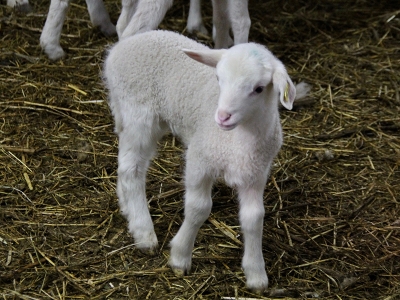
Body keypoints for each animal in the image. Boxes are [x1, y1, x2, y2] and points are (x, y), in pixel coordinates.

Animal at [103, 29, 310, 292]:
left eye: (259, 88)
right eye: (219, 79)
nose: (222, 117)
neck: (238, 141)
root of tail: (123, 45)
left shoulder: (256, 173)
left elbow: (254, 218)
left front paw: (256, 274)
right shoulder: (200, 158)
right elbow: (198, 208)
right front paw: (180, 257)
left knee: (128, 163)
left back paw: (127, 208)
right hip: (139, 114)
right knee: (132, 170)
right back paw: (143, 232)